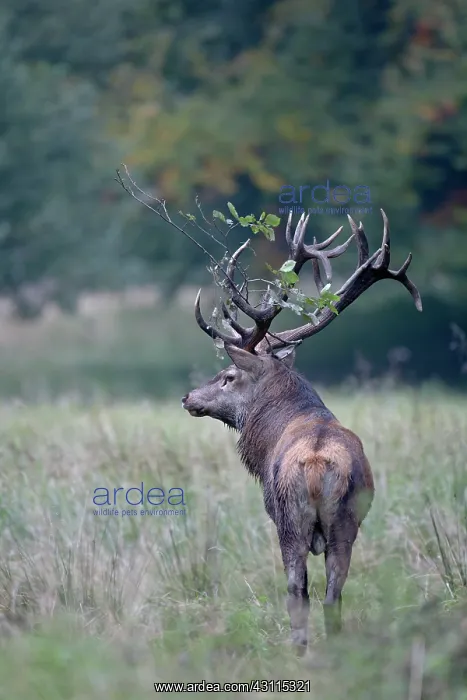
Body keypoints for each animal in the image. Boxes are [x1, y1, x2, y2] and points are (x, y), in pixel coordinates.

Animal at [181, 209, 422, 654]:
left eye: (228, 376)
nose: (188, 397)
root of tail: (316, 464)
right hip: (347, 521)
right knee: (333, 594)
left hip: (289, 521)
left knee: (298, 591)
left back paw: (299, 650)